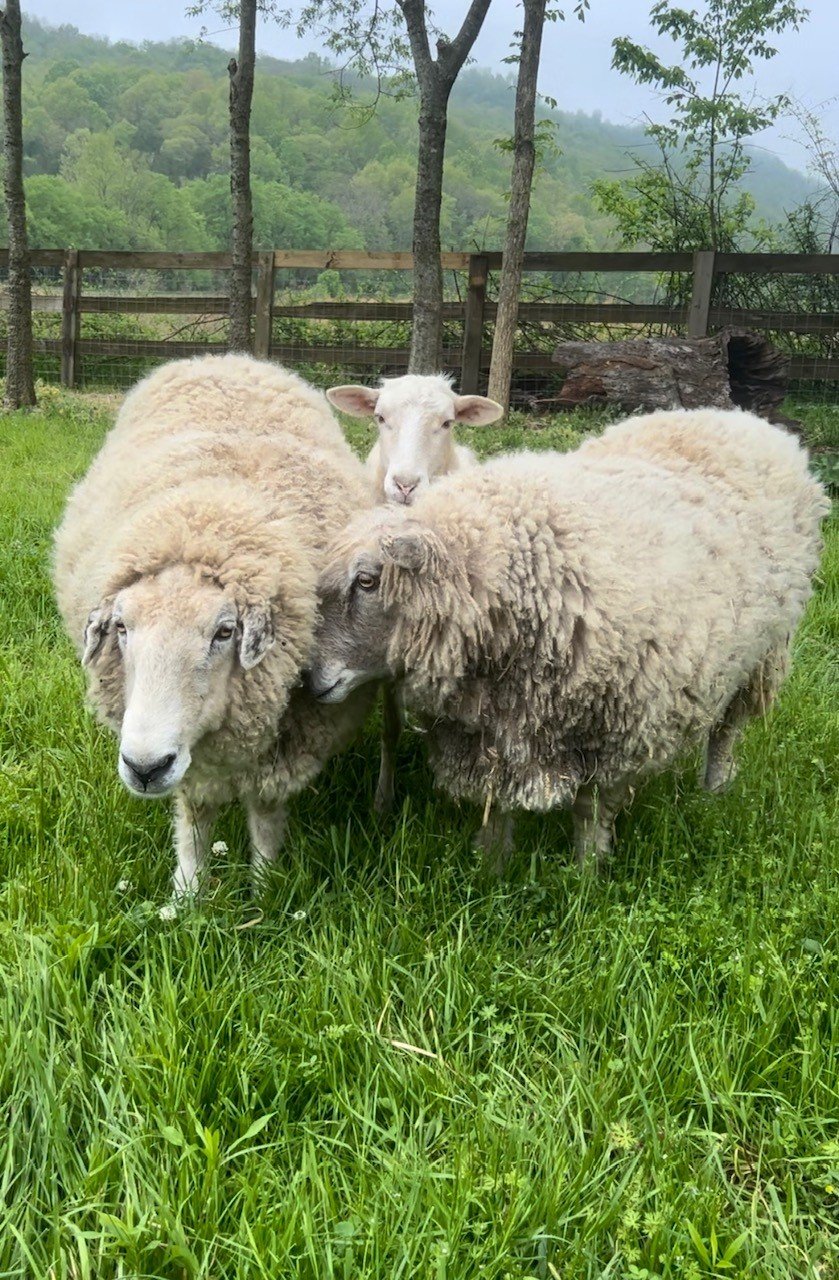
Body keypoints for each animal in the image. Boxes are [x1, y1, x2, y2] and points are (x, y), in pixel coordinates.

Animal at [53, 353, 376, 904]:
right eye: (122, 628)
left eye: (224, 633)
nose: (144, 767)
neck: (219, 509)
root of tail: (230, 357)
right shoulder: (191, 758)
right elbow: (195, 813)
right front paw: (187, 896)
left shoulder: (287, 738)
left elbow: (265, 814)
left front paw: (264, 891)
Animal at [307, 407, 828, 869]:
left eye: (367, 581)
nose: (309, 678)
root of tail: (745, 419)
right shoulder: (493, 728)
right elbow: (497, 806)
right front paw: (491, 870)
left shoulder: (617, 729)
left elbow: (590, 809)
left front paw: (586, 876)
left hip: (764, 651)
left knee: (727, 729)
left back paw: (714, 791)